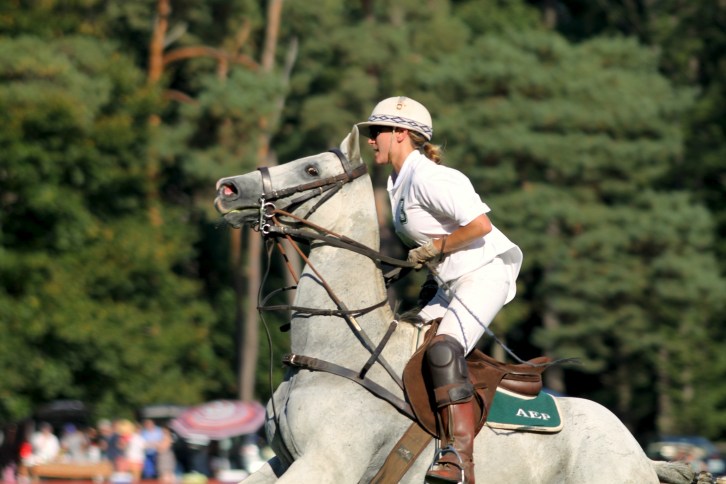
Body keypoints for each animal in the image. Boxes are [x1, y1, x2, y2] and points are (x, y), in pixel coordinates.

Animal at [215, 125, 698, 484]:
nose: (227, 188)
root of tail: (641, 452)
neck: (337, 351)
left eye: (311, 166)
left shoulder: (327, 464)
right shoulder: (280, 461)